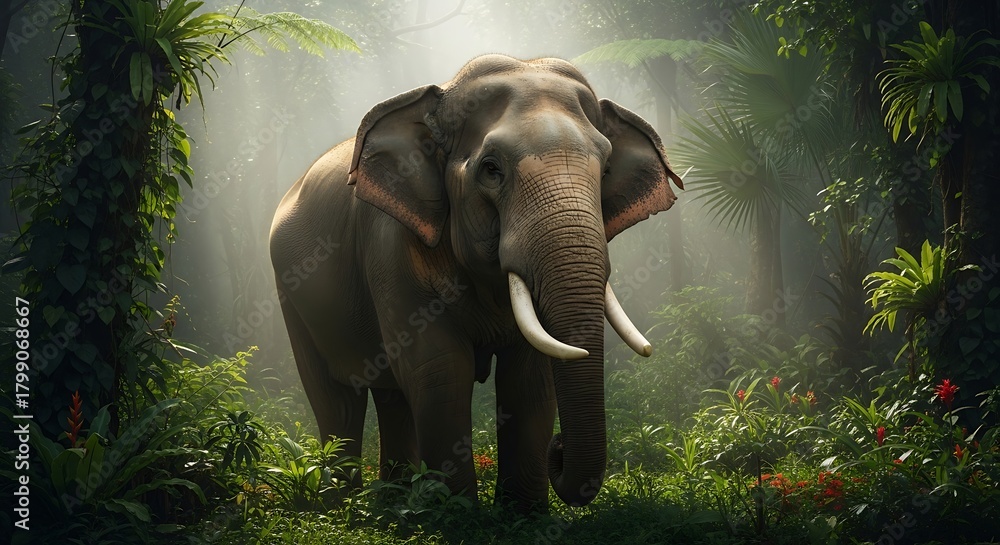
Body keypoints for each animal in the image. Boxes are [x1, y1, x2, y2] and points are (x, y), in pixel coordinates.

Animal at [269, 54, 683, 512]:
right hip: (290, 295)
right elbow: (439, 366)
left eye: (606, 169)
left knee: (392, 394)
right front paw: (456, 513)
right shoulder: (391, 245)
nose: (558, 450)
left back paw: (392, 505)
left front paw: (524, 514)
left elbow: (529, 376)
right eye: (491, 169)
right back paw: (341, 507)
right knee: (336, 399)